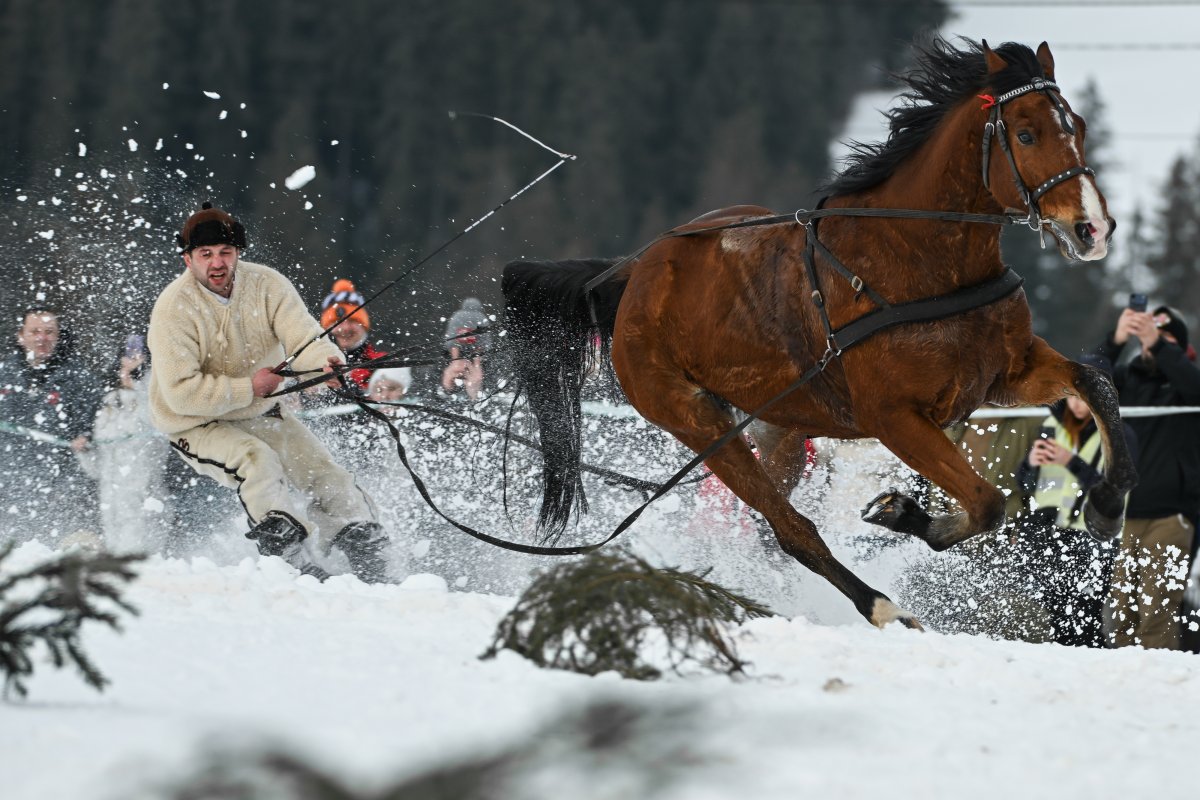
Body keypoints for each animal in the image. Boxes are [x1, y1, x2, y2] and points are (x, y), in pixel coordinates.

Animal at [500, 38, 1135, 630]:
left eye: (1077, 126)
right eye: (1025, 134)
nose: (1093, 229)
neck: (916, 262)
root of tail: (634, 274)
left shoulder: (1005, 373)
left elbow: (1096, 385)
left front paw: (1106, 502)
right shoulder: (894, 417)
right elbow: (987, 504)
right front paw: (907, 516)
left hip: (778, 427)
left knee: (768, 527)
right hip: (697, 421)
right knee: (790, 529)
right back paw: (881, 607)